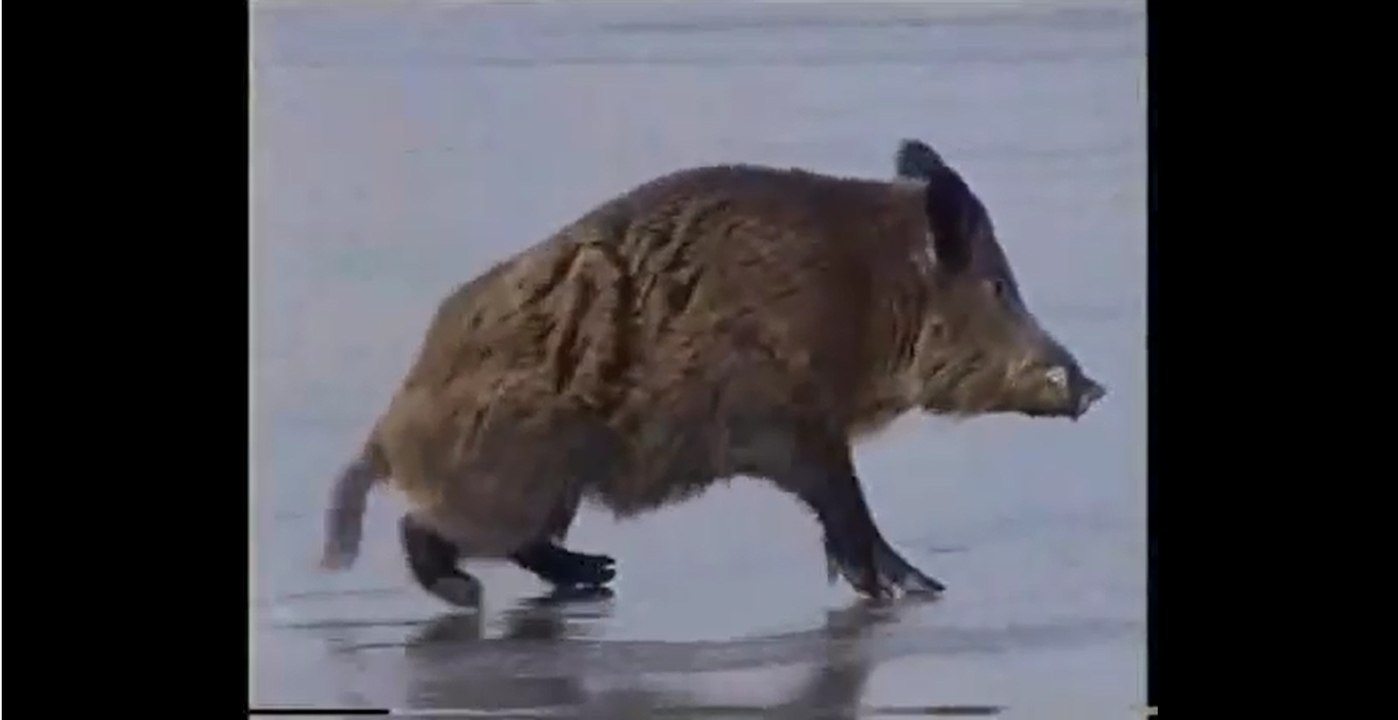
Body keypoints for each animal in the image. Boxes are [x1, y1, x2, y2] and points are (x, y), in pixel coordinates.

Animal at [317, 138, 1106, 607]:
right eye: (997, 287)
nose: (1092, 386)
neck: (870, 299)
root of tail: (387, 430)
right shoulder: (785, 421)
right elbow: (843, 501)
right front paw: (914, 587)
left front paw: (913, 588)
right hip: (514, 478)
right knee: (432, 529)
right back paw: (470, 593)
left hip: (555, 487)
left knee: (529, 544)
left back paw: (599, 576)